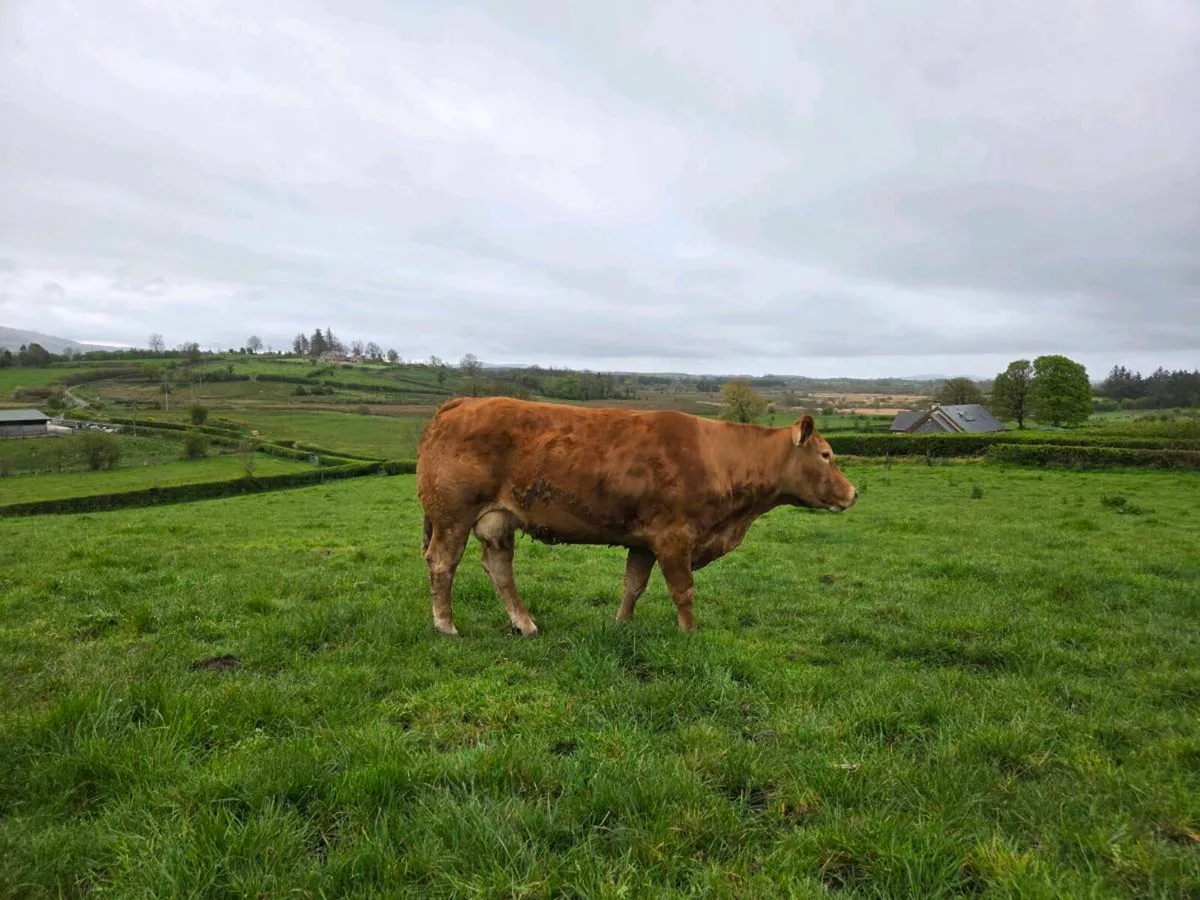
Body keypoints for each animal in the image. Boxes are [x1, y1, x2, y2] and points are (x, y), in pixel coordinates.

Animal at [415, 396, 858, 636]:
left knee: (499, 569)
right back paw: (445, 625)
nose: (853, 493)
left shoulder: (644, 540)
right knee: (442, 563)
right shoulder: (675, 537)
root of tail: (461, 403)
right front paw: (690, 633)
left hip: (497, 521)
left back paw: (525, 623)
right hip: (452, 516)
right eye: (826, 454)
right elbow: (683, 590)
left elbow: (633, 586)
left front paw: (621, 625)